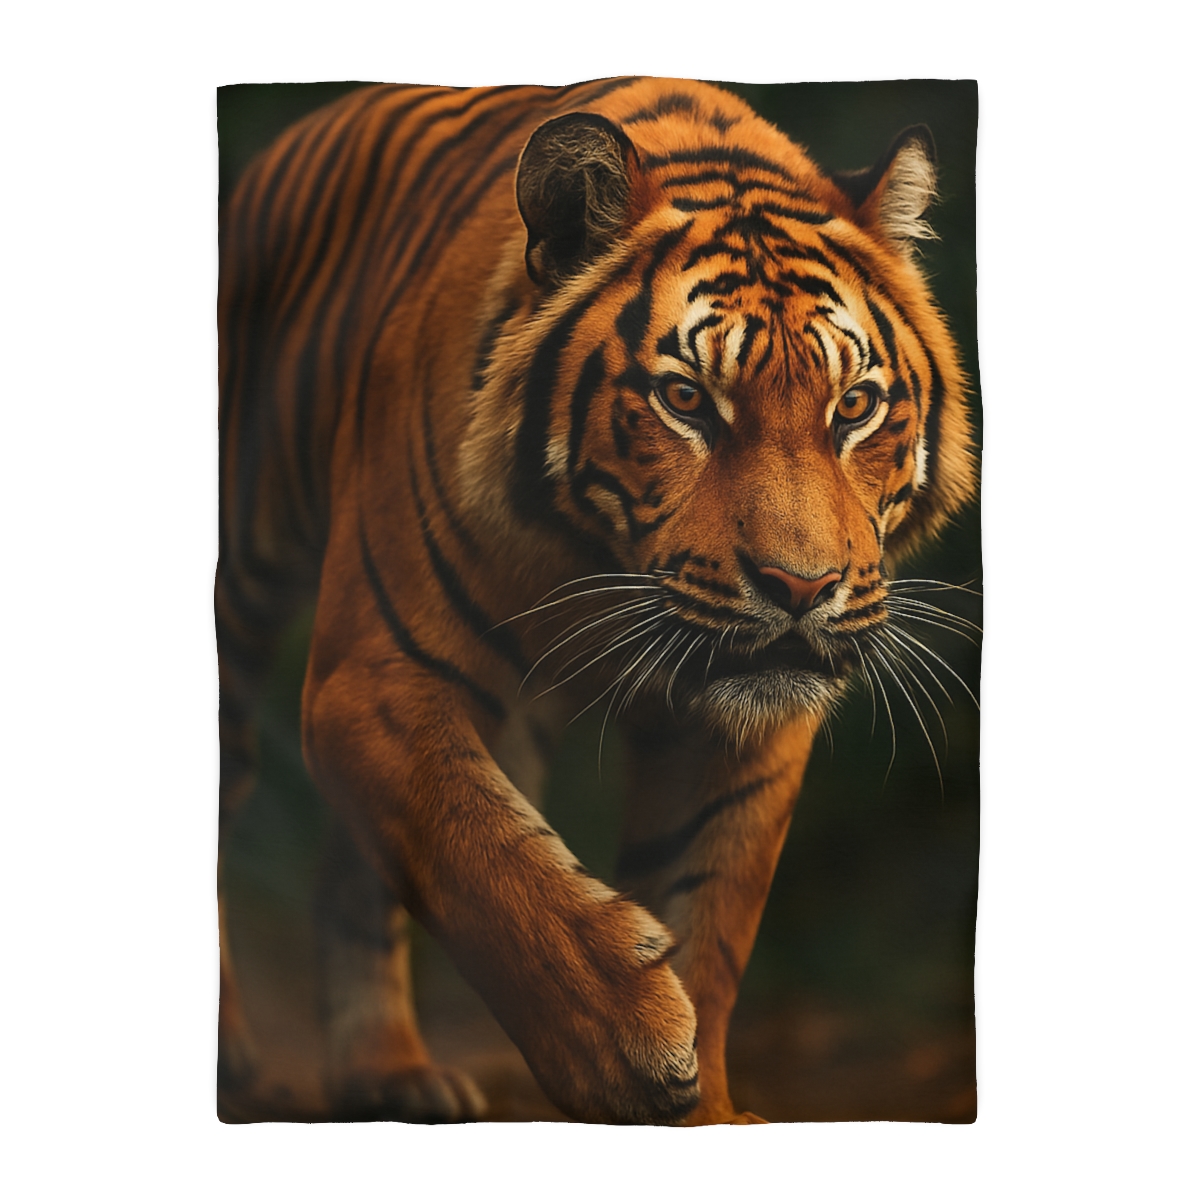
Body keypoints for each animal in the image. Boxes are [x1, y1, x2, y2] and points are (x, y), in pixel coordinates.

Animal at [217, 77, 976, 1126]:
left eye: (855, 407)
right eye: (687, 400)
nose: (802, 588)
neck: (596, 565)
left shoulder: (746, 735)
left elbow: (709, 911)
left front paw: (702, 1106)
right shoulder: (373, 680)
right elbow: (490, 862)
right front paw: (633, 1051)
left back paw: (389, 1073)